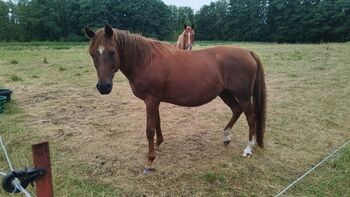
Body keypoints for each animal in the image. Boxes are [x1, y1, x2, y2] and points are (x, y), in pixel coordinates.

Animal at [85, 24, 266, 174]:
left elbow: (149, 130)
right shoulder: (154, 100)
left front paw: (150, 162)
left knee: (251, 117)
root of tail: (248, 52)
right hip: (225, 93)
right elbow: (157, 123)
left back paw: (248, 148)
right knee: (236, 110)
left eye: (112, 52)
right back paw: (226, 136)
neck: (146, 60)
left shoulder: (151, 100)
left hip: (243, 96)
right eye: (92, 54)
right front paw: (158, 144)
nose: (103, 87)